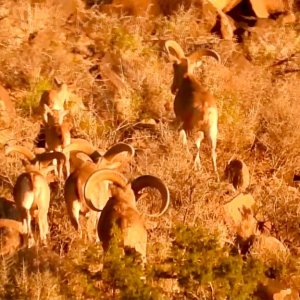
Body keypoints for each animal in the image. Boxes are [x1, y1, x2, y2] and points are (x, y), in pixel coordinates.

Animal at [164, 39, 220, 178]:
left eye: (174, 66)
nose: (173, 89)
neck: (188, 79)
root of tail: (207, 111)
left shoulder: (180, 119)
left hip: (193, 129)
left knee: (195, 146)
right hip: (212, 133)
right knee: (212, 153)